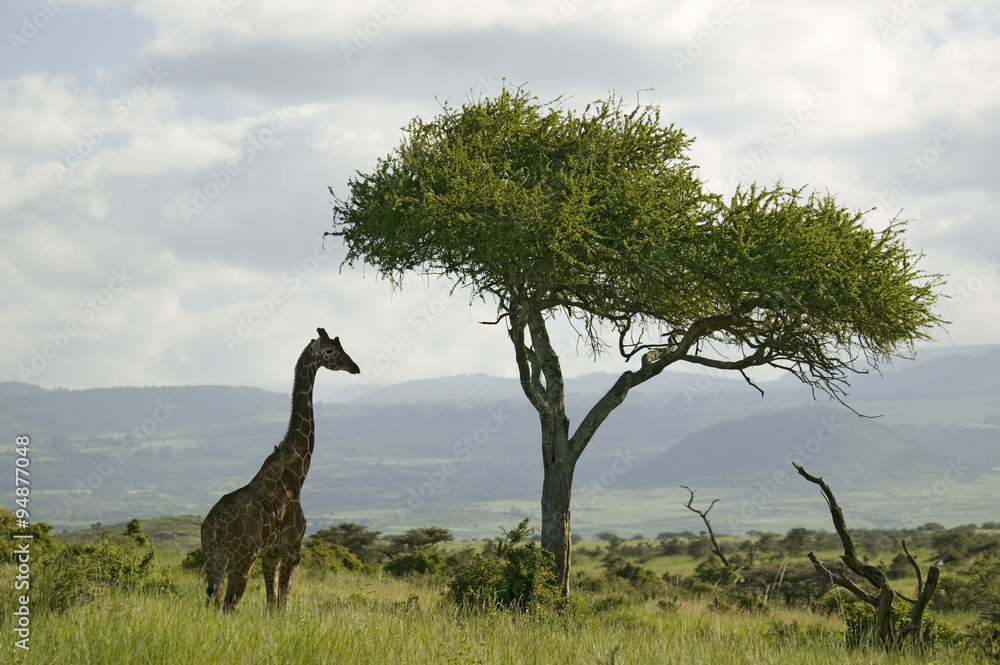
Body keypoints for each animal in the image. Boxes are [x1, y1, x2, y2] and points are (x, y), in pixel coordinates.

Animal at [201, 328, 362, 612]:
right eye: (330, 350)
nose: (355, 367)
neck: (297, 471)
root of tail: (214, 524)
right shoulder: (293, 549)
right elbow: (283, 603)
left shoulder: (271, 555)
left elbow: (271, 604)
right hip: (242, 558)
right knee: (230, 604)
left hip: (212, 557)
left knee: (213, 601)